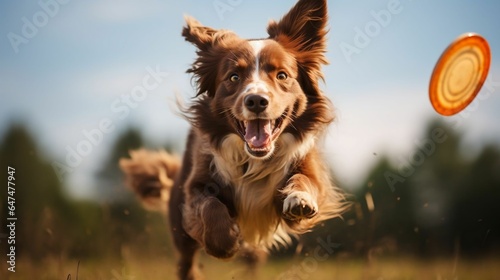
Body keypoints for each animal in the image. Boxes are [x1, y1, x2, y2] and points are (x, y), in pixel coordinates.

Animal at [121, 1, 348, 278]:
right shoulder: (196, 186)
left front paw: (300, 199)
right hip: (179, 226)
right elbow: (209, 206)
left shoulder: (308, 168)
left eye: (282, 75)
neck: (253, 158)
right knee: (186, 261)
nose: (256, 100)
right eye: (233, 77)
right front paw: (225, 242)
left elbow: (306, 181)